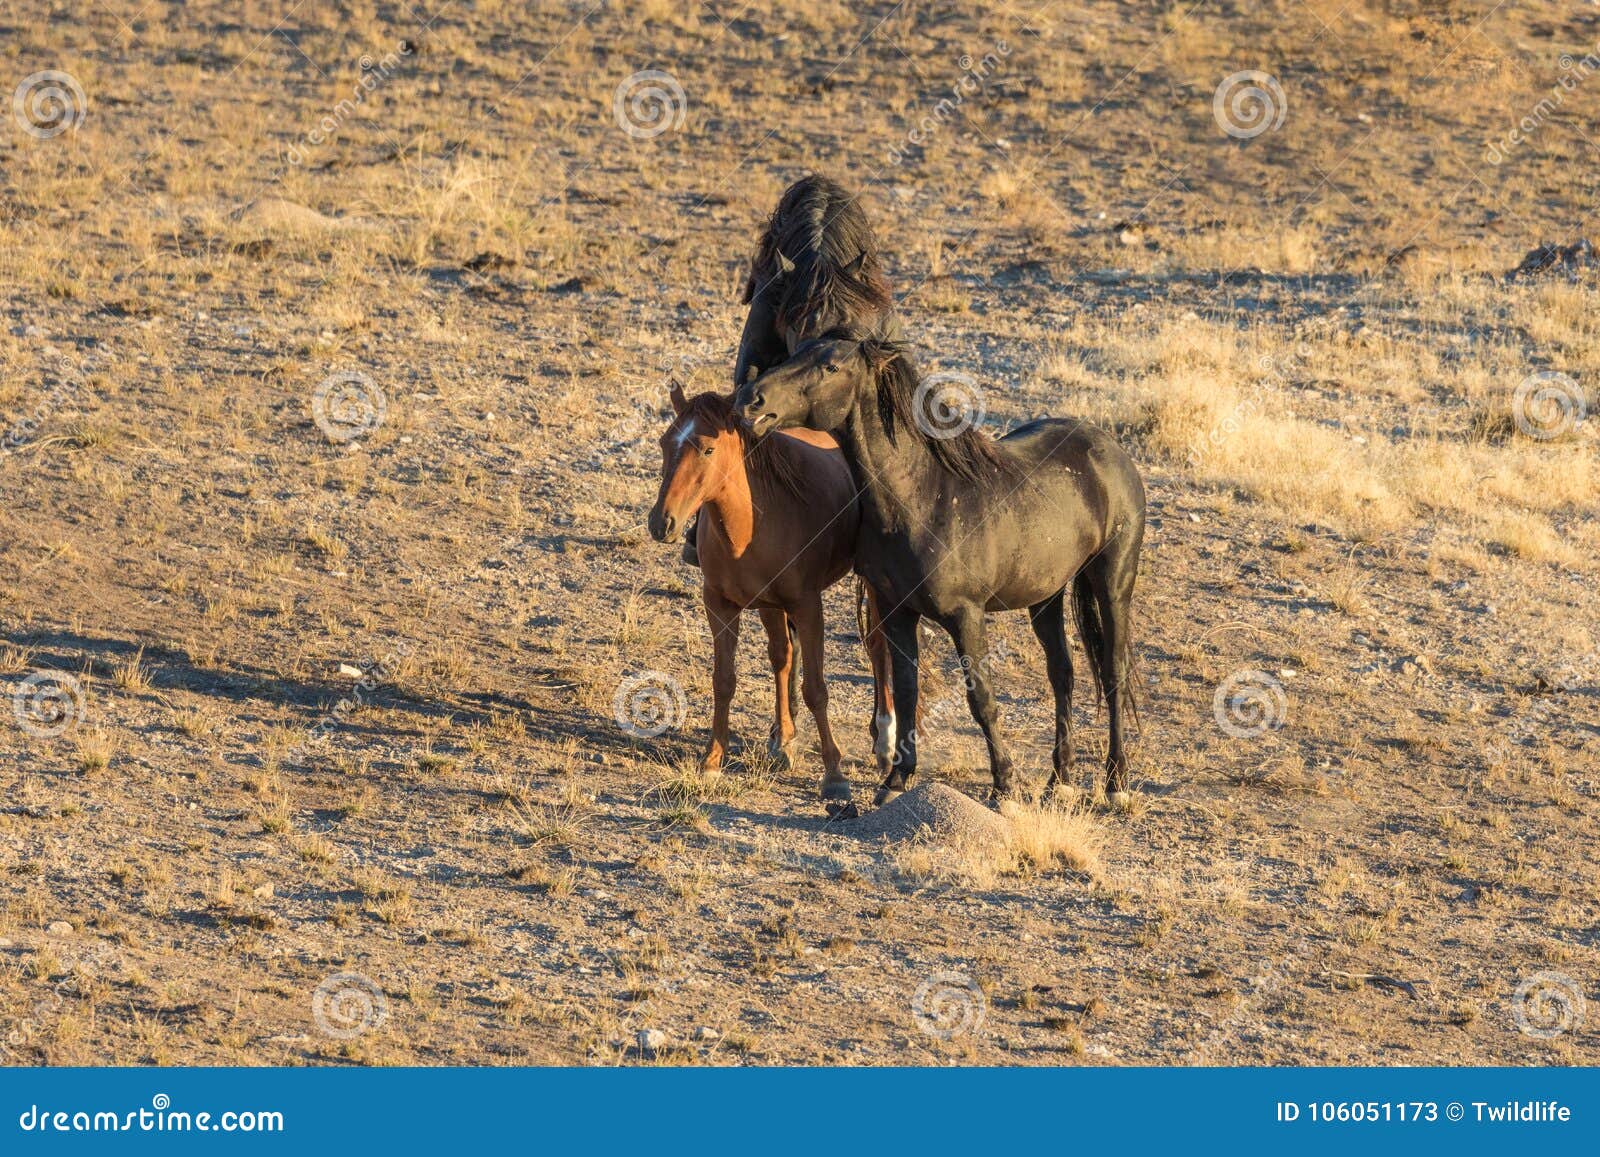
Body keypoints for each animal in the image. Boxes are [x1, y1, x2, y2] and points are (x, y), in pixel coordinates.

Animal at [647, 385, 892, 806]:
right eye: (666, 442)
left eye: (708, 449)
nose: (661, 523)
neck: (751, 524)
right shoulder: (720, 605)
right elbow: (724, 680)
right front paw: (712, 760)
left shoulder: (808, 607)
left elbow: (815, 689)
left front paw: (834, 773)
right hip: (769, 606)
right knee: (782, 655)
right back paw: (784, 739)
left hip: (870, 587)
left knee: (880, 648)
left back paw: (886, 743)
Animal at [736, 338, 1147, 807]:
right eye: (796, 352)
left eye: (831, 366)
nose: (751, 399)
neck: (919, 497)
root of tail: (1108, 448)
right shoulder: (896, 612)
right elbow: (906, 691)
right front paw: (895, 780)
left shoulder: (966, 616)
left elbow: (981, 699)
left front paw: (1004, 785)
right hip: (1046, 596)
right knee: (1062, 674)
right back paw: (1059, 779)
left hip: (1112, 584)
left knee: (1114, 672)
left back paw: (1116, 784)